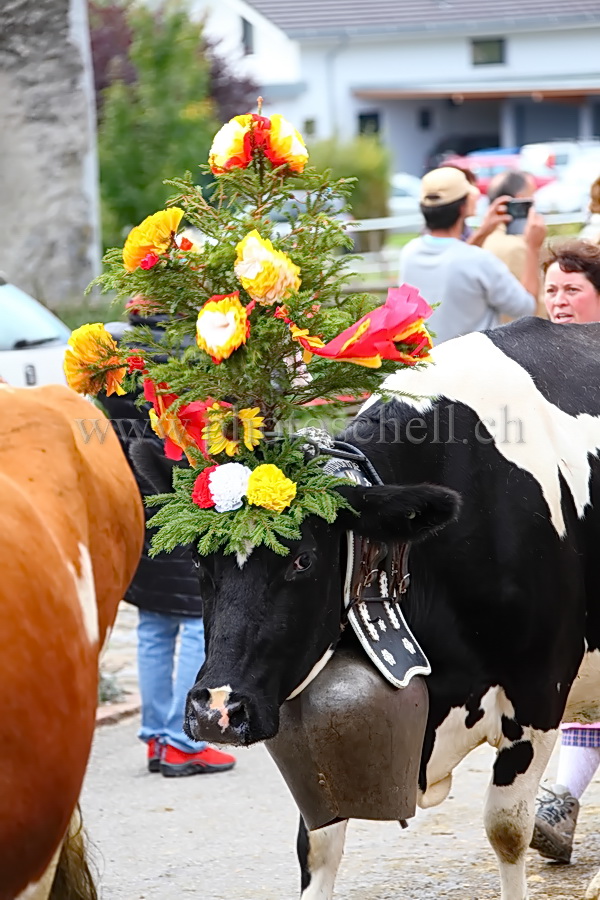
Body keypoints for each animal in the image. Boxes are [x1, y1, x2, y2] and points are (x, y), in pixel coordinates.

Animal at [134, 320, 600, 900]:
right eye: (199, 560)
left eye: (304, 560)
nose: (215, 709)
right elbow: (317, 845)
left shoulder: (538, 695)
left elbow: (508, 831)